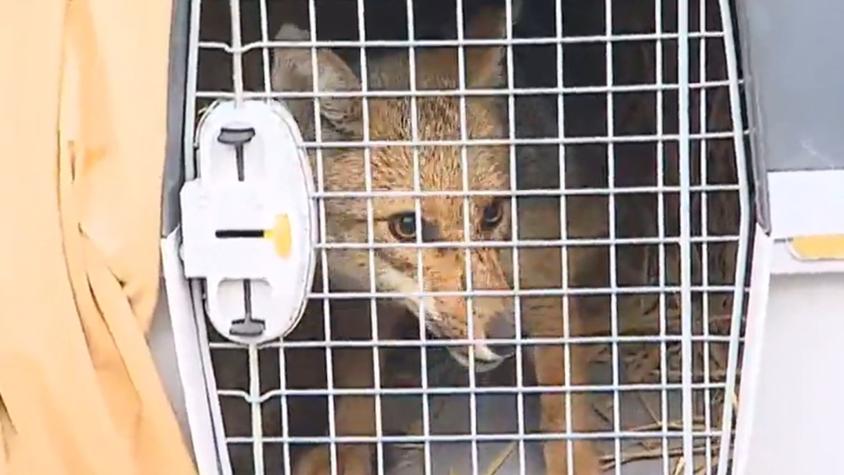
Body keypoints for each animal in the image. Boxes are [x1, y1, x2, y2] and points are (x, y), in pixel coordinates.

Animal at [269, 7, 603, 475]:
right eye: (407, 226)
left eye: (492, 213)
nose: (508, 337)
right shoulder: (356, 300)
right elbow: (355, 387)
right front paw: (346, 450)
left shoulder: (544, 269)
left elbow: (562, 398)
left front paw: (574, 458)